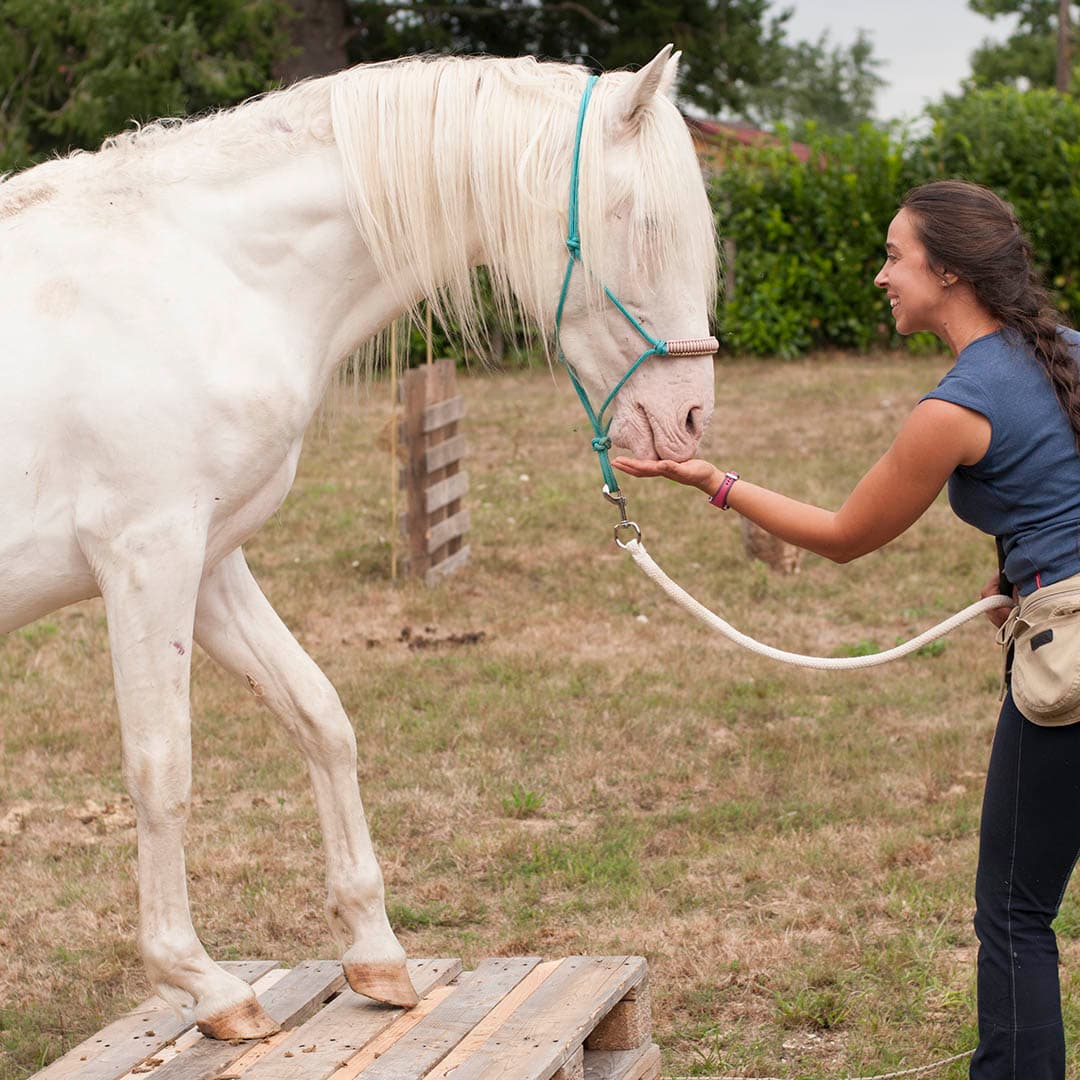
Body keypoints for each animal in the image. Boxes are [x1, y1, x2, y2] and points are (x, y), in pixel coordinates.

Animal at [0, 48, 717, 1036]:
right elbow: (162, 767)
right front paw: (204, 984)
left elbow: (319, 716)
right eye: (642, 223)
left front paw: (376, 954)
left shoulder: (211, 563)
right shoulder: (148, 560)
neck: (200, 274)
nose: (689, 420)